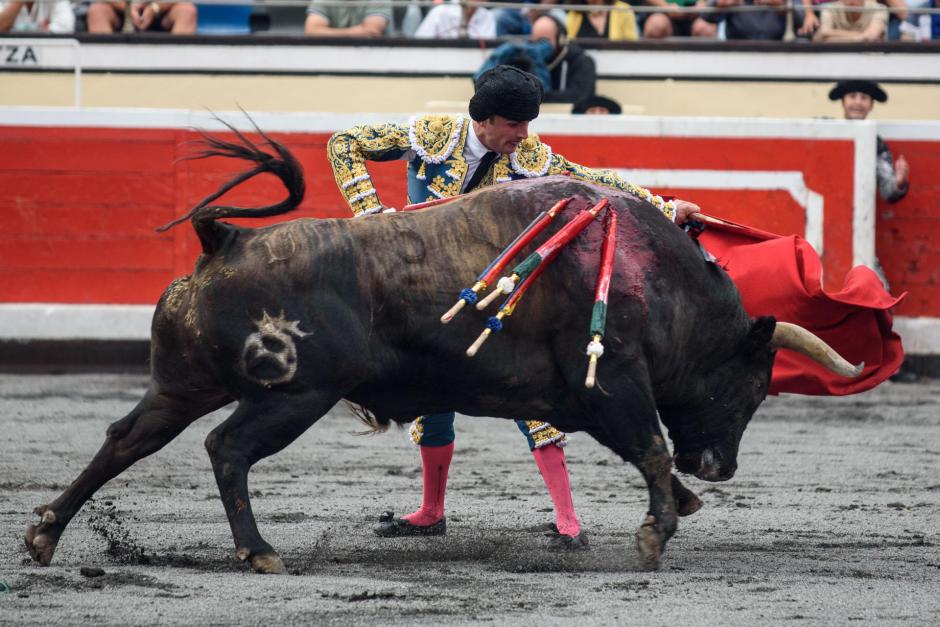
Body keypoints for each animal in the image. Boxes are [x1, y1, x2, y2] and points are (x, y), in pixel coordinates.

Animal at [23, 132, 860, 576]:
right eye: (754, 385)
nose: (722, 466)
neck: (650, 275)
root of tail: (223, 237)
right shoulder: (611, 380)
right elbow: (650, 445)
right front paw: (658, 531)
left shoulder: (580, 396)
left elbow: (636, 449)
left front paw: (678, 504)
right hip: (292, 395)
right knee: (227, 449)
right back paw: (258, 551)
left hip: (183, 382)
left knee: (126, 439)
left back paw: (45, 533)